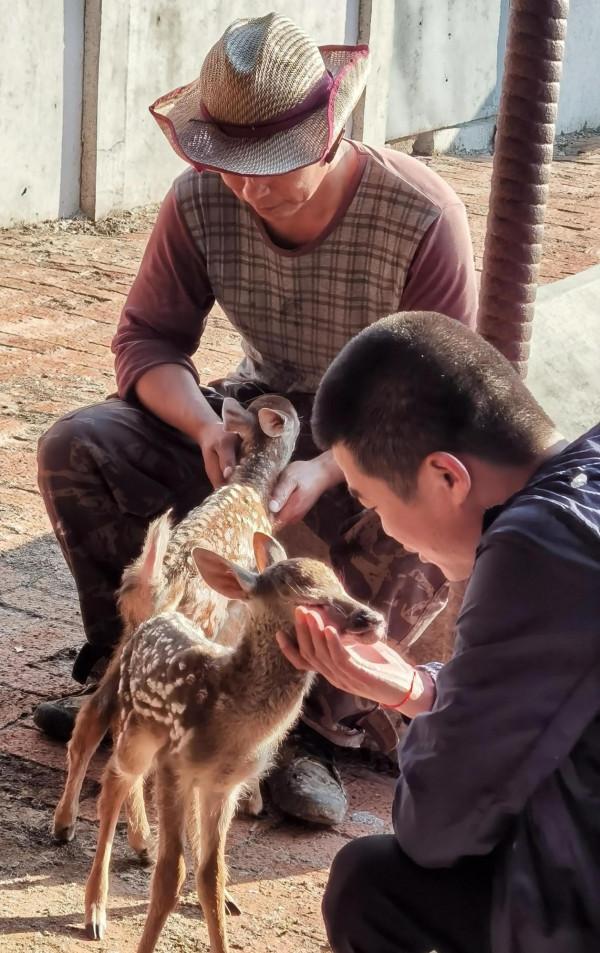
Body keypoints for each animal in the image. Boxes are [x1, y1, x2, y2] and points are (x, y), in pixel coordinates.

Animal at [53, 394, 300, 847]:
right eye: (292, 417)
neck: (251, 483)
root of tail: (153, 583)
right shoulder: (238, 618)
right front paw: (254, 799)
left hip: (129, 639)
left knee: (94, 718)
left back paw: (65, 825)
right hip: (185, 632)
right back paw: (143, 841)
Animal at [83, 530, 385, 951]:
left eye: (340, 585)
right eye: (308, 598)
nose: (372, 618)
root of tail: (157, 615)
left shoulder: (222, 786)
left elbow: (212, 875)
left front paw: (219, 910)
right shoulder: (173, 766)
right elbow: (170, 875)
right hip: (135, 728)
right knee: (114, 780)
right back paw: (95, 908)